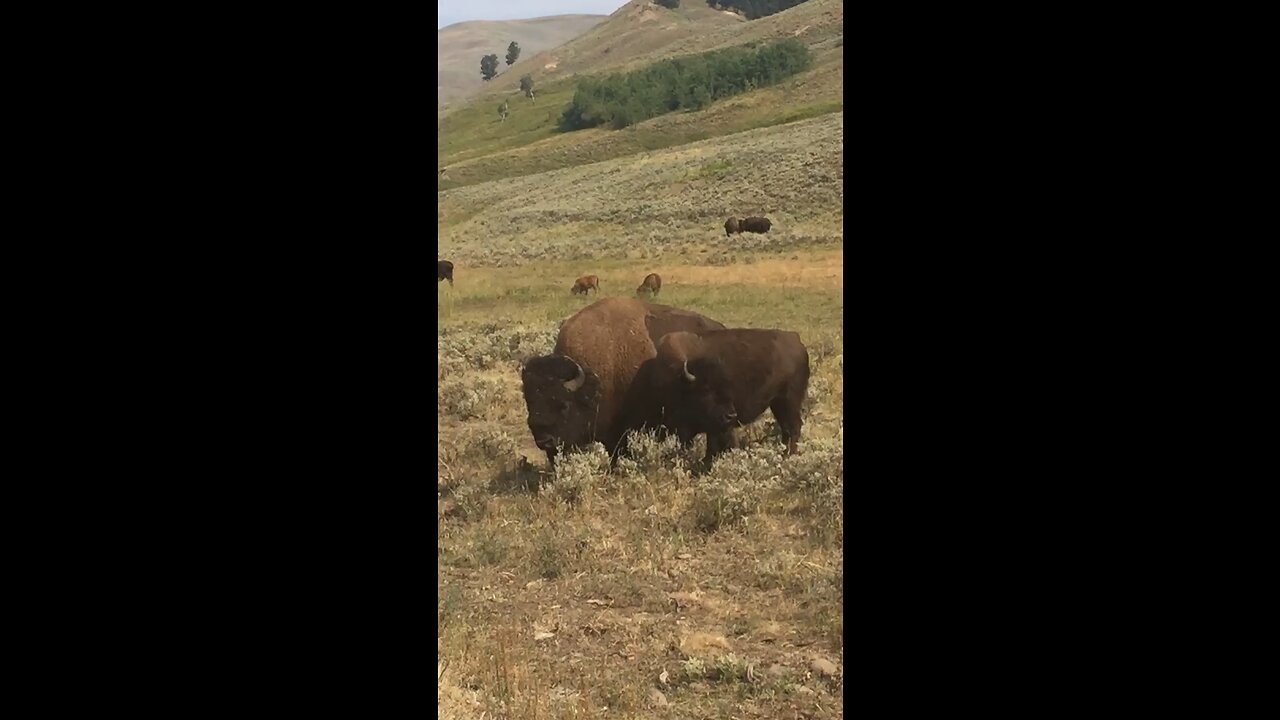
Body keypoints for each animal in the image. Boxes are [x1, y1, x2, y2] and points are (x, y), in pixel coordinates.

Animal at [637, 327, 808, 461]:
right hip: (777, 403)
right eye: (706, 389)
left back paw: (788, 456)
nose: (731, 415)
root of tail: (797, 341)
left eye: (728, 387)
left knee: (793, 427)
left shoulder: (718, 427)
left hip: (789, 400)